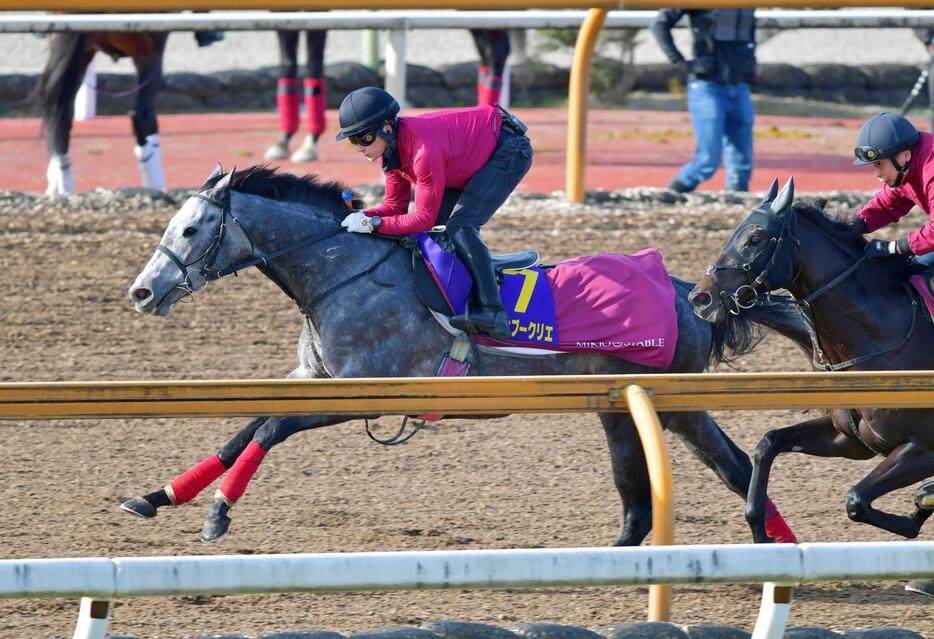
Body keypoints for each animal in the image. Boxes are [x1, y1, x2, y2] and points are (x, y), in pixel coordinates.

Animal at [35, 33, 168, 192]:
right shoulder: (149, 49)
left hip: (82, 52)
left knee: (58, 109)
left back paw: (60, 185)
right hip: (147, 49)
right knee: (142, 114)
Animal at [126, 166, 812, 544]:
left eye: (191, 229)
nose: (142, 291)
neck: (345, 274)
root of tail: (687, 294)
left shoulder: (362, 395)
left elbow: (269, 430)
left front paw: (217, 513)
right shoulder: (308, 377)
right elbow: (240, 432)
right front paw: (159, 496)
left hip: (676, 403)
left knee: (733, 467)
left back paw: (782, 544)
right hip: (620, 409)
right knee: (643, 502)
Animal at [688, 178, 934, 544]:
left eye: (756, 238)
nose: (700, 298)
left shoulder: (921, 449)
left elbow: (856, 501)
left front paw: (921, 505)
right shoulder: (848, 439)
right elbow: (768, 443)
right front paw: (761, 531)